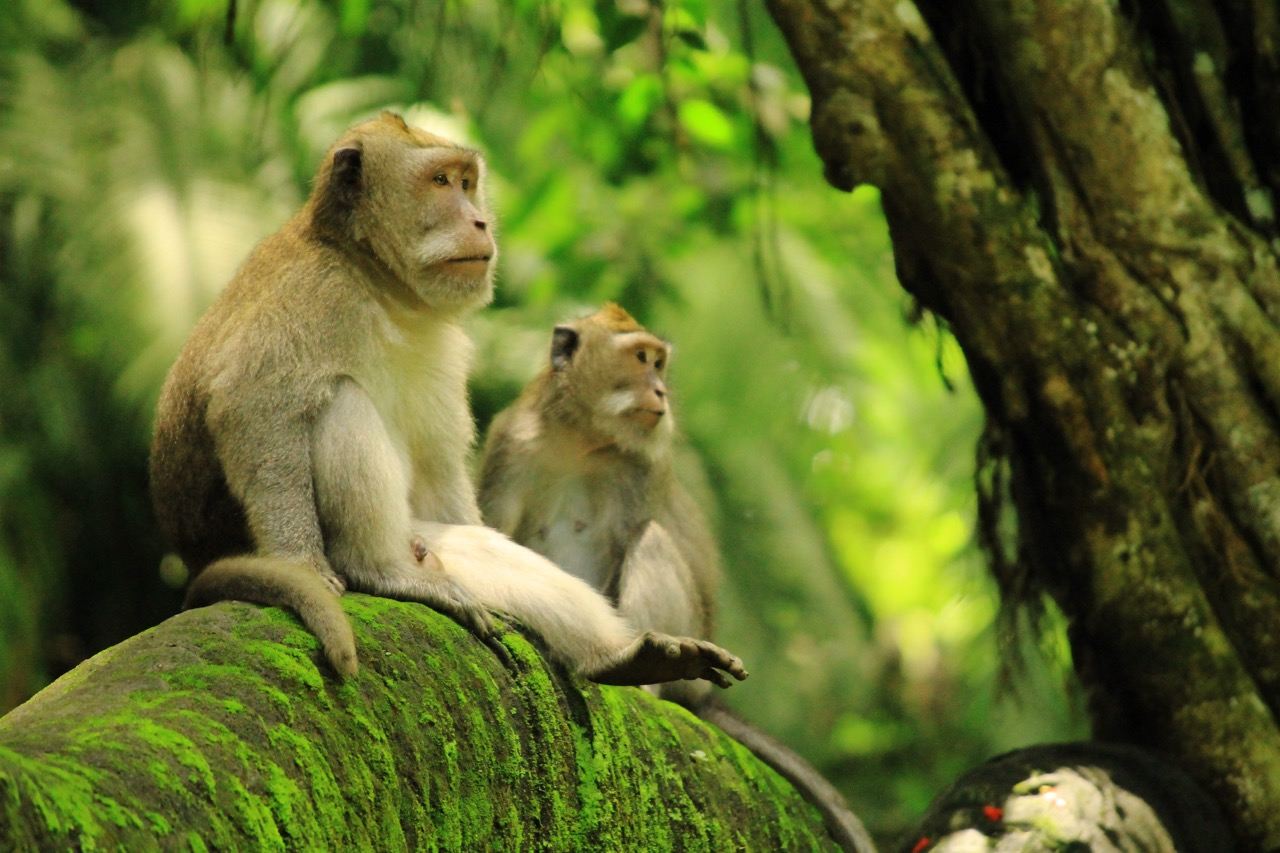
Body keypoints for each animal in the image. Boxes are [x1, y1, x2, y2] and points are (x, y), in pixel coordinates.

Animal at [149, 112, 747, 693]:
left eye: (466, 182)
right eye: (439, 182)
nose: (480, 222)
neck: (374, 280)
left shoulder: (441, 343)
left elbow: (439, 466)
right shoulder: (307, 295)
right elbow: (251, 410)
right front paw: (303, 564)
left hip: (430, 543)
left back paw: (622, 658)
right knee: (341, 401)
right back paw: (381, 570)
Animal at [477, 303, 876, 852]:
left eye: (659, 364)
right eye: (640, 358)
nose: (661, 391)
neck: (583, 438)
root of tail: (702, 697)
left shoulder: (643, 468)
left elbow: (629, 542)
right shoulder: (511, 442)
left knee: (651, 539)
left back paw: (645, 675)